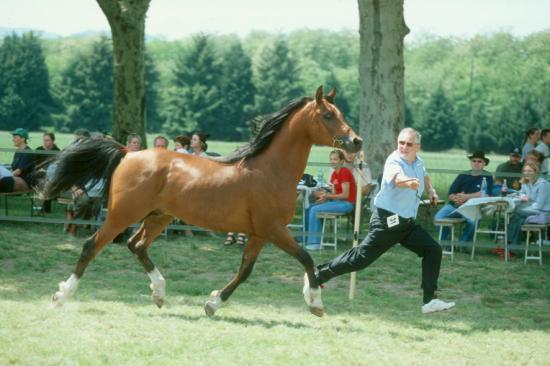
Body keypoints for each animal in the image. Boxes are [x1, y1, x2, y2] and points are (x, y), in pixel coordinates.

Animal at [45, 86, 364, 318]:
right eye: (327, 115)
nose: (356, 142)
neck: (270, 170)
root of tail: (129, 154)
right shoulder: (274, 229)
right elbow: (306, 258)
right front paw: (315, 303)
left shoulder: (259, 234)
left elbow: (245, 271)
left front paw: (212, 304)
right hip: (122, 214)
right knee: (92, 245)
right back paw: (61, 295)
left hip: (158, 216)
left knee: (136, 245)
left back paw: (159, 293)